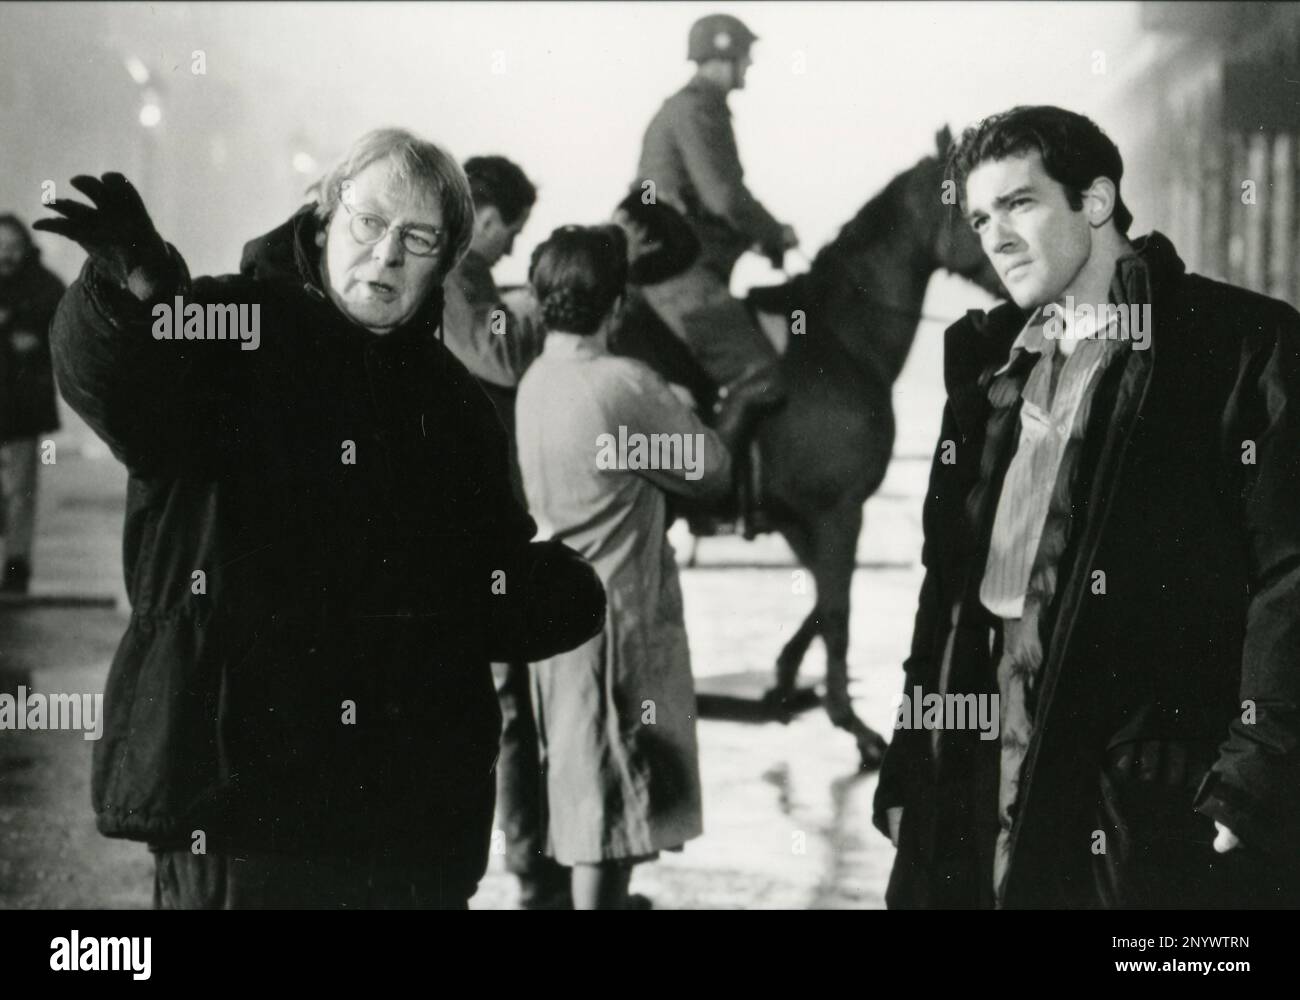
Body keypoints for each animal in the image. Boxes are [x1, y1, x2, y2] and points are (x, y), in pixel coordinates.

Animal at [611, 124, 1003, 764]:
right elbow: (837, 608)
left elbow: (822, 599)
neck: (840, 340)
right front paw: (855, 727)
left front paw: (785, 679)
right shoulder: (838, 511)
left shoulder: (804, 517)